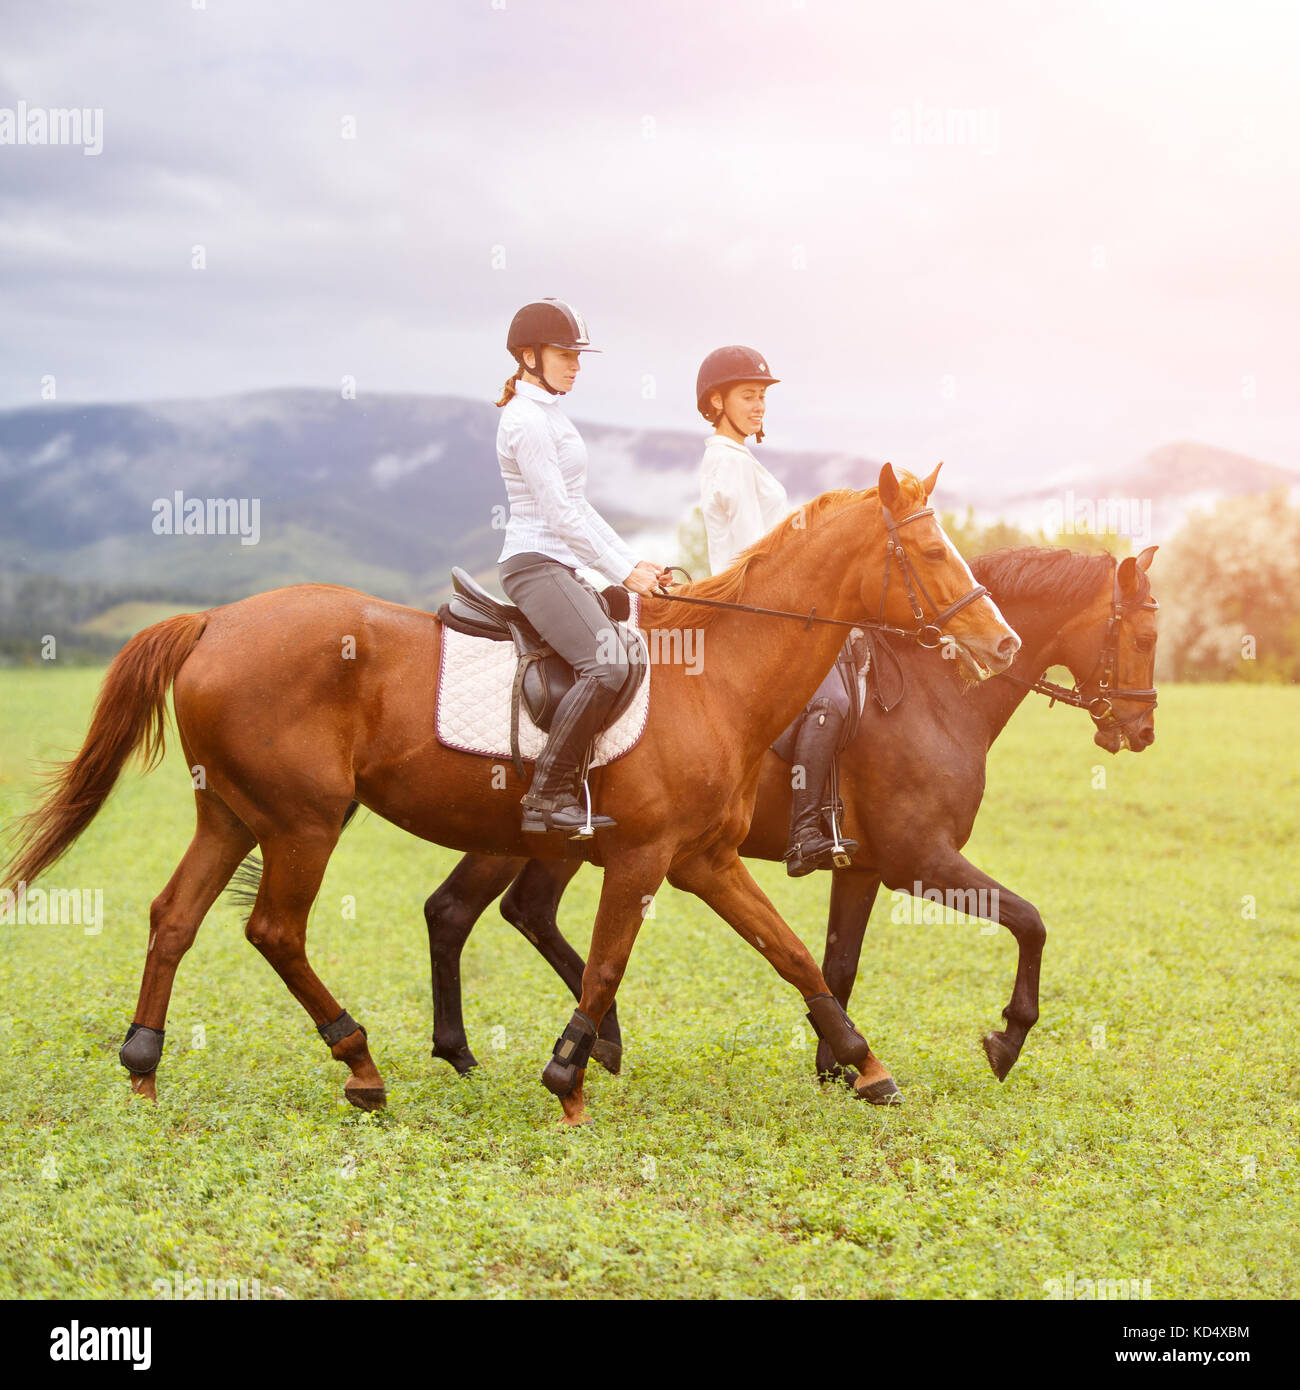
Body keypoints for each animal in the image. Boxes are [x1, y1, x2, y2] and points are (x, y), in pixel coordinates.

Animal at [0, 463, 1020, 1124]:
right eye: (930, 549)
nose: (1002, 644)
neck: (717, 677)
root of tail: (215, 620)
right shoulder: (643, 859)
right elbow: (608, 966)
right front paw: (569, 1077)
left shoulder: (704, 859)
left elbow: (795, 955)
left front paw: (868, 1067)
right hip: (302, 821)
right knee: (275, 930)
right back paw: (360, 1062)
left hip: (232, 814)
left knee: (175, 917)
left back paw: (144, 1064)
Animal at [419, 544, 1159, 1098]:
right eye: (1146, 635)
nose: (1143, 728)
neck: (935, 694)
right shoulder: (920, 861)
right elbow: (1030, 921)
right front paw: (1006, 1037)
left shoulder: (861, 868)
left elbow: (837, 962)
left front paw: (837, 1062)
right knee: (477, 910)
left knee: (489, 909)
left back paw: (525, 1045)